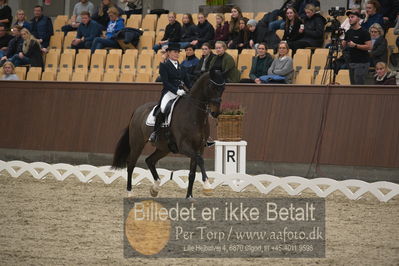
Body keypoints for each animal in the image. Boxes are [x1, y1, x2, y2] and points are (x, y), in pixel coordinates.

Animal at [111, 68, 227, 197]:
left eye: (223, 88)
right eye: (211, 86)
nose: (215, 112)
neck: (194, 116)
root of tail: (137, 110)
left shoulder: (199, 147)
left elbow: (192, 173)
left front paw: (189, 196)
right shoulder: (184, 147)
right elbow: (200, 160)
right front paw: (207, 186)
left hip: (164, 148)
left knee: (150, 160)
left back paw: (155, 188)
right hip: (138, 143)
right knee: (131, 164)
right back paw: (130, 193)